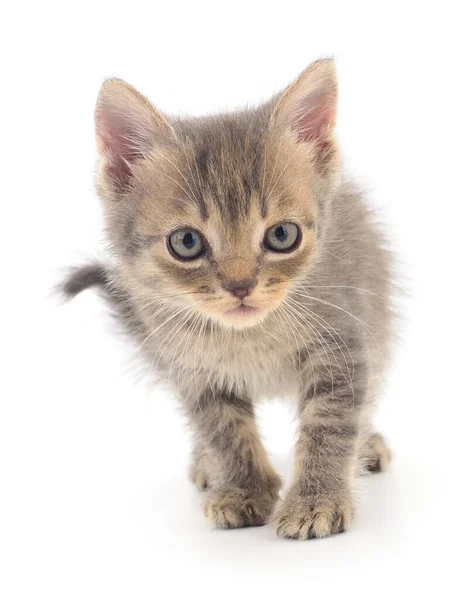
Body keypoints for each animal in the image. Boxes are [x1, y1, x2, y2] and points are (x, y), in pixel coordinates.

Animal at [63, 59, 396, 540]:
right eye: (186, 242)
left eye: (282, 235)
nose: (240, 285)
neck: (251, 337)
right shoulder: (189, 367)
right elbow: (223, 428)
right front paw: (243, 490)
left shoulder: (344, 339)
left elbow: (331, 422)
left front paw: (317, 500)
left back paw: (367, 446)